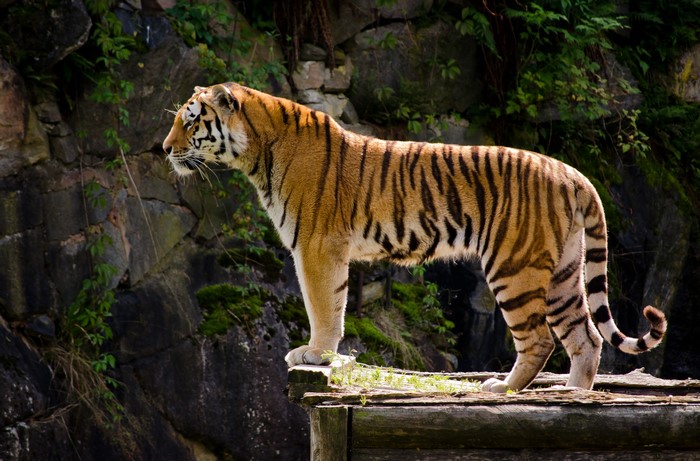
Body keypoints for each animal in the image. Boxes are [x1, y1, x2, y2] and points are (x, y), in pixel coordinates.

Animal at [162, 83, 667, 392]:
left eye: (190, 121)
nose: (165, 149)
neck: (257, 152)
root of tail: (572, 173)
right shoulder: (324, 248)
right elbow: (335, 303)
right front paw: (323, 353)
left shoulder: (316, 246)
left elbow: (323, 305)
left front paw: (315, 354)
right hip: (563, 271)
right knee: (587, 338)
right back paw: (574, 394)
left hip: (514, 267)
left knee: (541, 339)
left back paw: (503, 387)